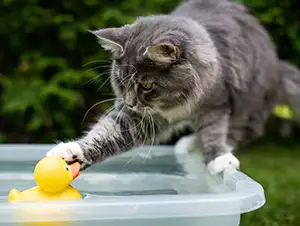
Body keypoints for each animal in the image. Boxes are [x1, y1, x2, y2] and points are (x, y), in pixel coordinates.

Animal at [46, 0, 300, 175]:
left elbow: (213, 131)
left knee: (237, 133)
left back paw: (196, 147)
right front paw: (71, 152)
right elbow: (106, 133)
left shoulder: (217, 103)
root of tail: (278, 66)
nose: (129, 102)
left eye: (146, 85)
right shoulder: (138, 118)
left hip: (248, 108)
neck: (176, 104)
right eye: (121, 80)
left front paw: (219, 158)